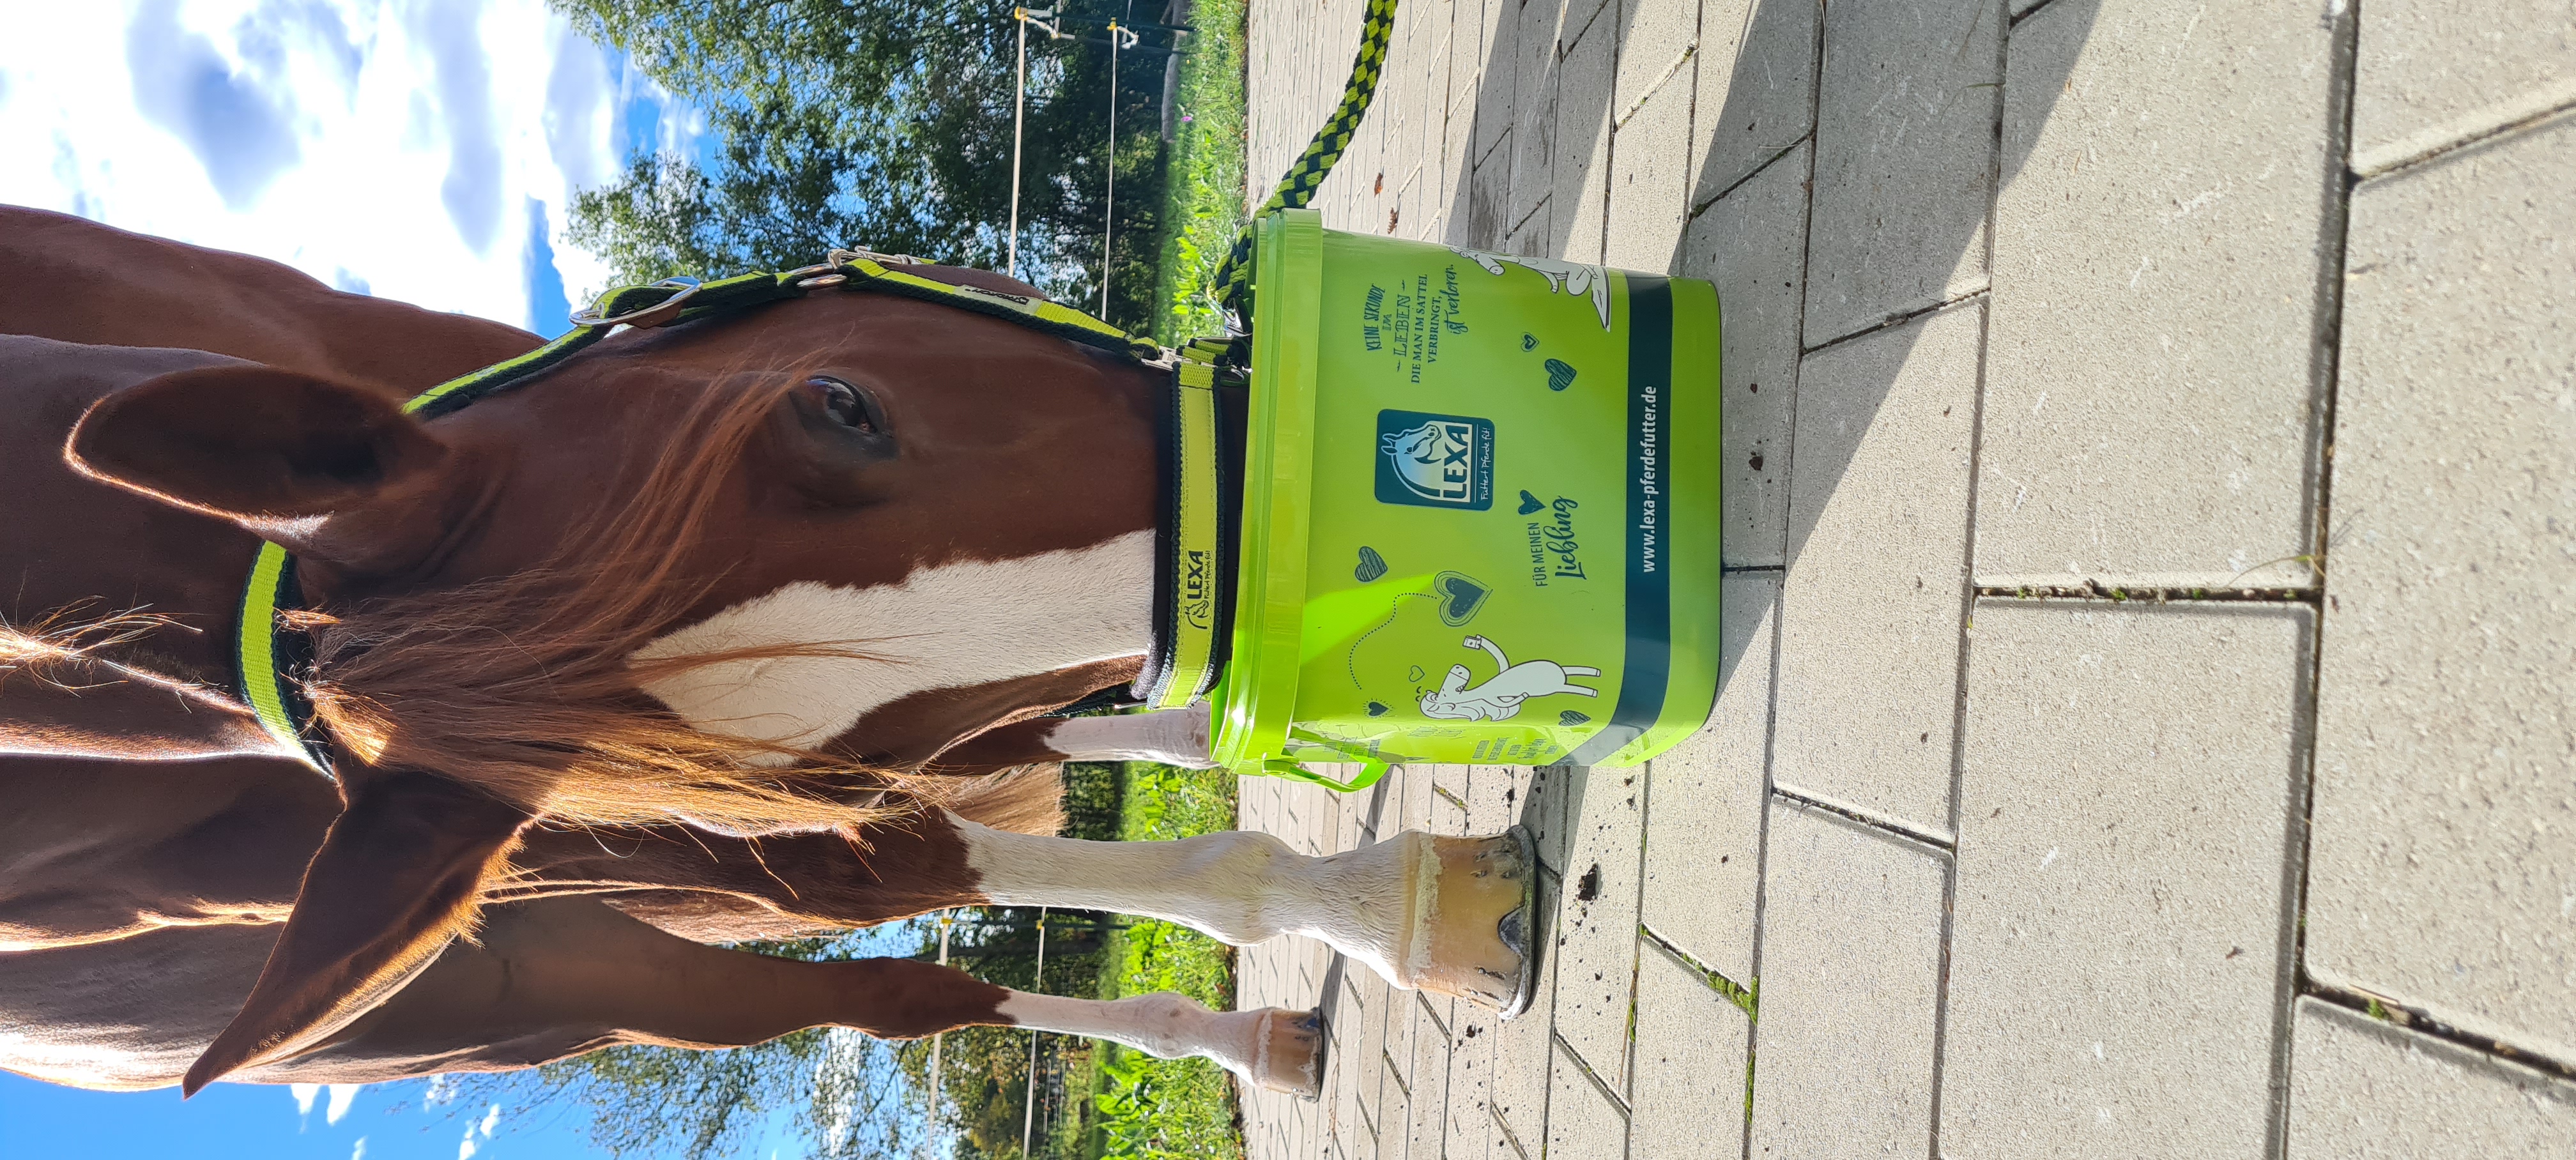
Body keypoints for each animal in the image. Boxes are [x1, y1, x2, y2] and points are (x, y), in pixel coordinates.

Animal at [0, 207, 1539, 1100]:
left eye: (841, 405)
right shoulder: (731, 835)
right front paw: (1411, 906)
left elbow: (1081, 725)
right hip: (566, 992)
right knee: (906, 993)